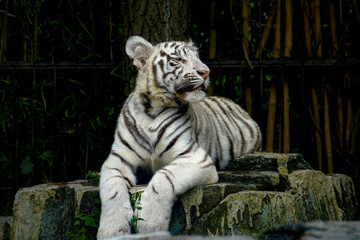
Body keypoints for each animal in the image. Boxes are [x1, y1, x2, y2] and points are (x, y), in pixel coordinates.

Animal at [97, 35, 262, 238]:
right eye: (178, 59)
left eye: (198, 58)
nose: (206, 72)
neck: (151, 110)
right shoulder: (117, 160)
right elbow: (113, 191)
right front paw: (112, 231)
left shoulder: (195, 157)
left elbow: (164, 179)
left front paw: (150, 224)